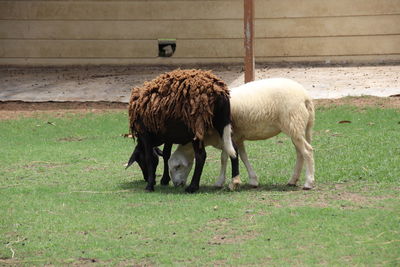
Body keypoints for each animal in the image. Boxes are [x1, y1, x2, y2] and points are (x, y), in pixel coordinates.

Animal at [169, 77, 316, 191]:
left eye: (177, 166)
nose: (176, 184)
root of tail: (306, 97)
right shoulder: (238, 138)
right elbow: (243, 156)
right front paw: (253, 180)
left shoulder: (226, 137)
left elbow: (224, 158)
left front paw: (222, 182)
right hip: (297, 128)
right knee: (300, 153)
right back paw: (293, 180)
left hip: (293, 123)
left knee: (307, 151)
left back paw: (308, 182)